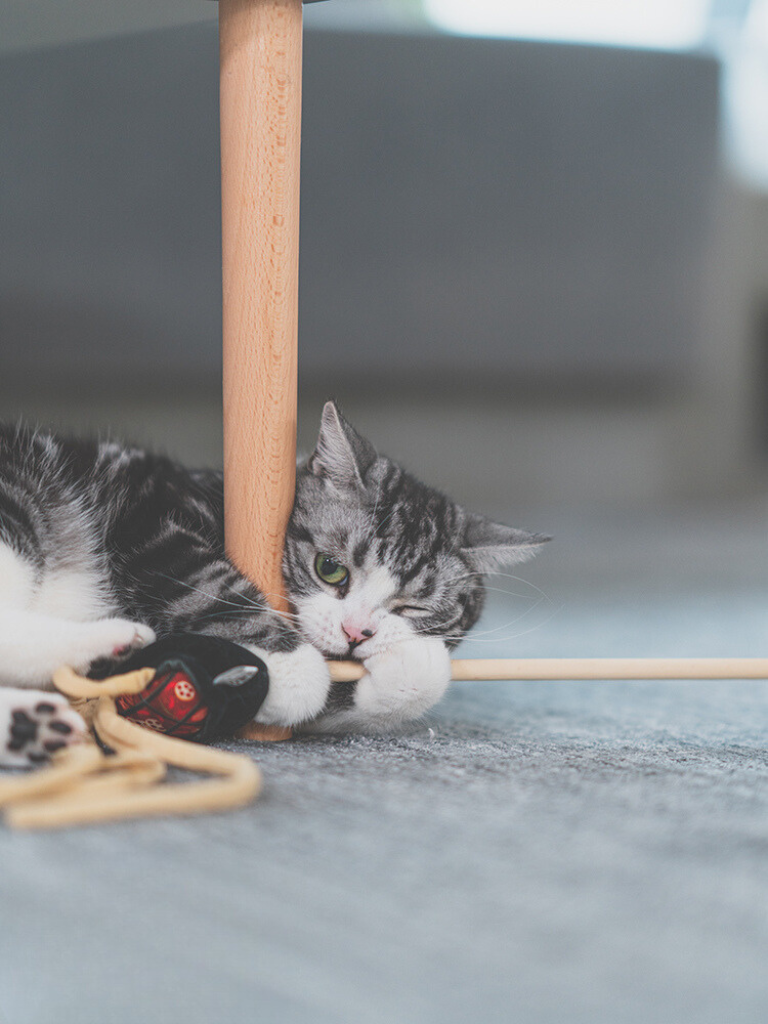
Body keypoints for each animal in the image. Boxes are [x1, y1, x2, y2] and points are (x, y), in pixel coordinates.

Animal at [1, 403, 552, 765]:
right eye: (330, 568)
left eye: (413, 607)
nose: (357, 633)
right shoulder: (149, 513)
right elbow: (208, 584)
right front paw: (293, 669)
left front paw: (412, 661)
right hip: (22, 498)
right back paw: (111, 642)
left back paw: (34, 720)